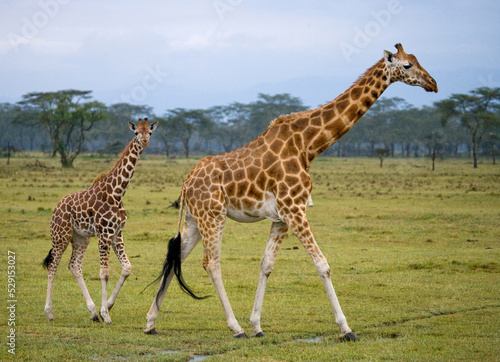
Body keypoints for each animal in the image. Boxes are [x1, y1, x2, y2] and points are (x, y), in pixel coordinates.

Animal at [43, 118, 157, 322]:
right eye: (136, 132)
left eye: (149, 132)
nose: (144, 141)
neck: (117, 193)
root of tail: (56, 207)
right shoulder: (104, 234)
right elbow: (104, 273)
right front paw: (106, 315)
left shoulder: (117, 234)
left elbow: (127, 268)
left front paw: (108, 307)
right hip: (60, 236)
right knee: (53, 265)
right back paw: (49, 312)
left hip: (81, 238)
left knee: (74, 265)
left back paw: (93, 312)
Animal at [145, 44, 438, 340]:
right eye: (408, 65)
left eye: (417, 60)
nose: (433, 84)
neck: (309, 145)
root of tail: (186, 183)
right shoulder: (295, 210)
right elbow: (323, 265)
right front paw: (346, 329)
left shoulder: (281, 217)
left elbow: (266, 265)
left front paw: (258, 326)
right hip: (212, 216)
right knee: (211, 263)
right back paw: (235, 327)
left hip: (194, 221)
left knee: (176, 258)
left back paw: (151, 322)